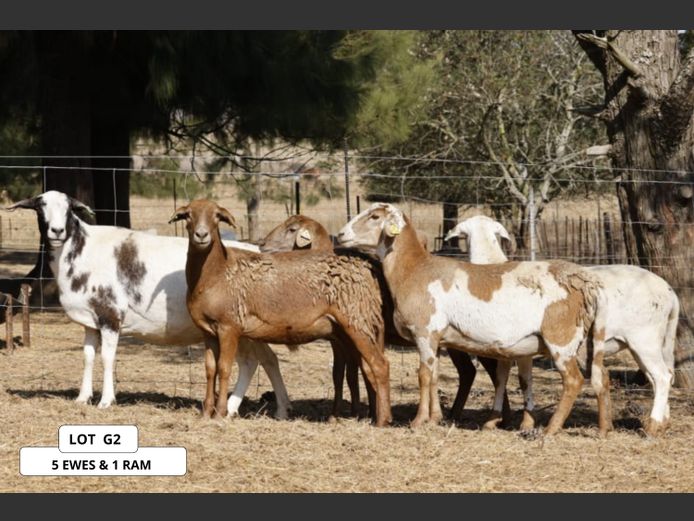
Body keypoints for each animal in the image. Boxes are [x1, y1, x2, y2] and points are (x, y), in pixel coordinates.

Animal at [5, 191, 293, 418]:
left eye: (68, 208)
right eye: (41, 205)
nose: (57, 231)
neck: (81, 251)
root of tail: (259, 251)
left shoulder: (110, 315)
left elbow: (107, 357)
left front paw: (106, 401)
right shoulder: (91, 320)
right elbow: (87, 356)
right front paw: (82, 398)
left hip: (239, 327)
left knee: (255, 362)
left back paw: (244, 408)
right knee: (262, 360)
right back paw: (271, 409)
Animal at [170, 199, 392, 426]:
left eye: (216, 216)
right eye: (188, 215)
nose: (202, 235)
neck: (217, 274)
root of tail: (368, 267)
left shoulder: (229, 327)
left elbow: (224, 368)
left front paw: (219, 413)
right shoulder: (208, 332)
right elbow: (210, 369)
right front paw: (206, 412)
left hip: (358, 322)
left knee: (380, 365)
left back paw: (381, 421)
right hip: (351, 329)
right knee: (365, 368)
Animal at [260, 214, 511, 423]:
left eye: (292, 229)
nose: (262, 244)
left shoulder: (350, 340)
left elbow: (355, 372)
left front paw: (358, 413)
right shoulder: (341, 341)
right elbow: (346, 374)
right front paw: (355, 411)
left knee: (486, 370)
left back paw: (498, 417)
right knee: (469, 372)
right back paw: (458, 414)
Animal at [337, 203, 611, 435]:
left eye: (375, 216)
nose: (340, 235)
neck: (414, 270)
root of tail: (585, 282)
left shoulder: (425, 331)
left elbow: (423, 375)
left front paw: (418, 421)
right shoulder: (437, 338)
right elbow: (434, 375)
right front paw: (435, 419)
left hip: (561, 338)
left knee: (574, 381)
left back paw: (551, 429)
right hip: (585, 341)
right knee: (602, 377)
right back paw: (603, 429)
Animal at [446, 215, 679, 435]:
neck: (491, 261)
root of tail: (670, 293)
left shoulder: (516, 347)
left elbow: (514, 379)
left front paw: (514, 421)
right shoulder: (512, 349)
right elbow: (509, 379)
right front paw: (506, 420)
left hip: (643, 339)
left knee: (661, 377)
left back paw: (653, 426)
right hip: (649, 344)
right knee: (660, 377)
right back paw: (662, 423)